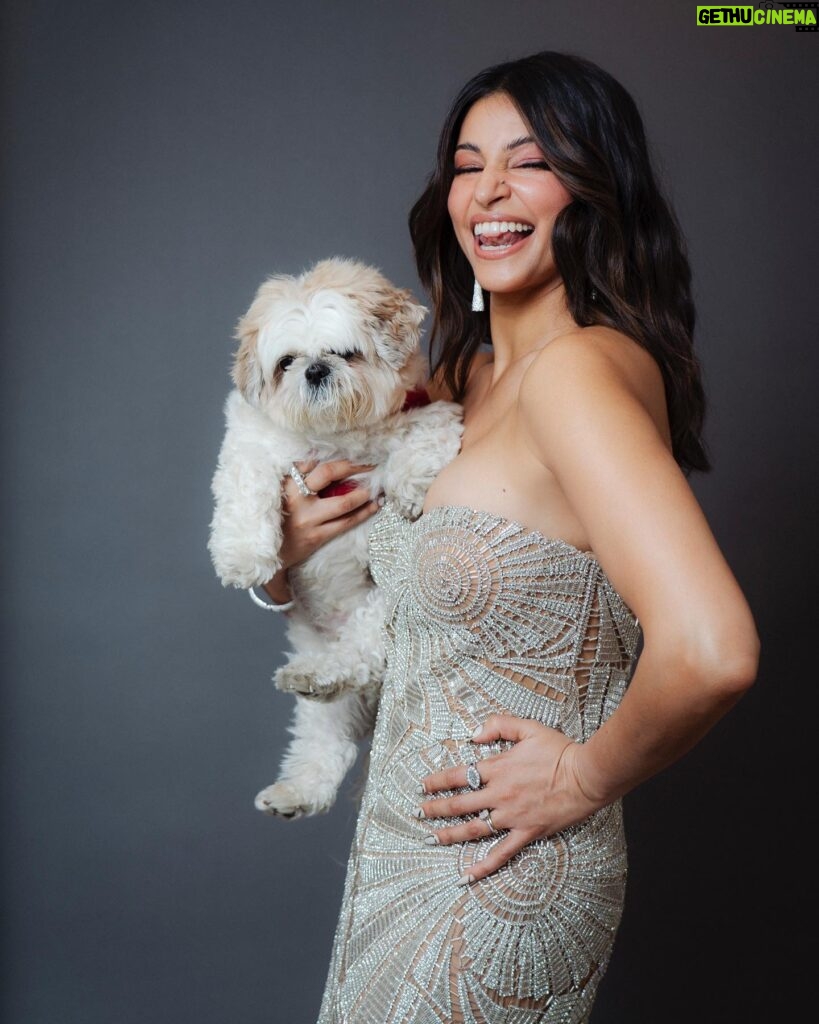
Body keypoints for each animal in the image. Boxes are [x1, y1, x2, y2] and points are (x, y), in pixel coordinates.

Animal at [207, 260, 464, 819]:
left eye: (345, 353)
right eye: (286, 362)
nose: (315, 370)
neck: (333, 437)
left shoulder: (433, 412)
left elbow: (422, 435)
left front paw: (410, 484)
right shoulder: (251, 438)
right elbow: (245, 483)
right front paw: (242, 556)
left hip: (386, 609)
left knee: (361, 653)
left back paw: (324, 672)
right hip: (330, 698)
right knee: (326, 734)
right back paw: (297, 787)